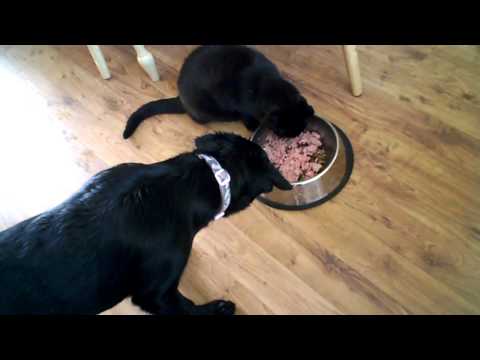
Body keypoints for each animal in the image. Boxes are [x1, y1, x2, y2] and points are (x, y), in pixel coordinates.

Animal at [122, 44, 314, 139]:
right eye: (283, 130)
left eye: (301, 127)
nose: (294, 136)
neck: (266, 84)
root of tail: (180, 96)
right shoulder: (243, 106)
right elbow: (247, 116)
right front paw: (253, 126)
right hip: (205, 111)